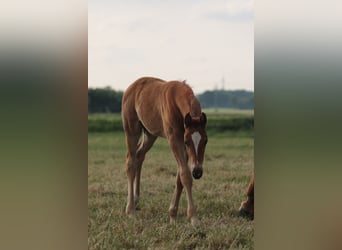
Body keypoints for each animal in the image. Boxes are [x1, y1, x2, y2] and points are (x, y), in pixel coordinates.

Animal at [123, 76, 208, 225]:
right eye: (188, 141)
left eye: (206, 140)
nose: (197, 172)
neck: (175, 101)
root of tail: (132, 86)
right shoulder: (175, 139)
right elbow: (185, 175)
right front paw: (193, 217)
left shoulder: (182, 142)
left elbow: (180, 177)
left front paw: (173, 215)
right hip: (132, 129)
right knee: (130, 162)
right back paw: (130, 210)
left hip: (150, 134)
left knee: (139, 155)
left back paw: (136, 198)